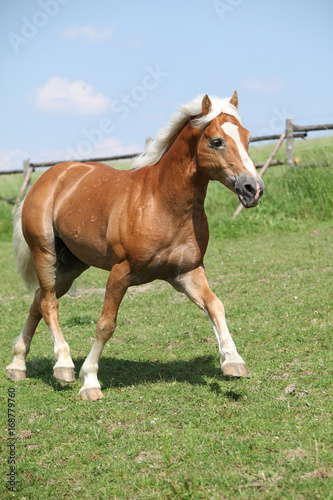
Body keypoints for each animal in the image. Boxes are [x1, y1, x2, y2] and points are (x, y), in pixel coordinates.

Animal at [6, 92, 264, 400]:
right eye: (217, 141)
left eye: (247, 137)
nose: (253, 189)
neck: (162, 204)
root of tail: (45, 179)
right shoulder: (121, 273)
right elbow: (106, 325)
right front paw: (89, 382)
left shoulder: (186, 273)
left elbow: (215, 305)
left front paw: (233, 362)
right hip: (45, 253)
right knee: (48, 304)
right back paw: (64, 365)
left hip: (72, 265)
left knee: (37, 301)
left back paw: (17, 365)